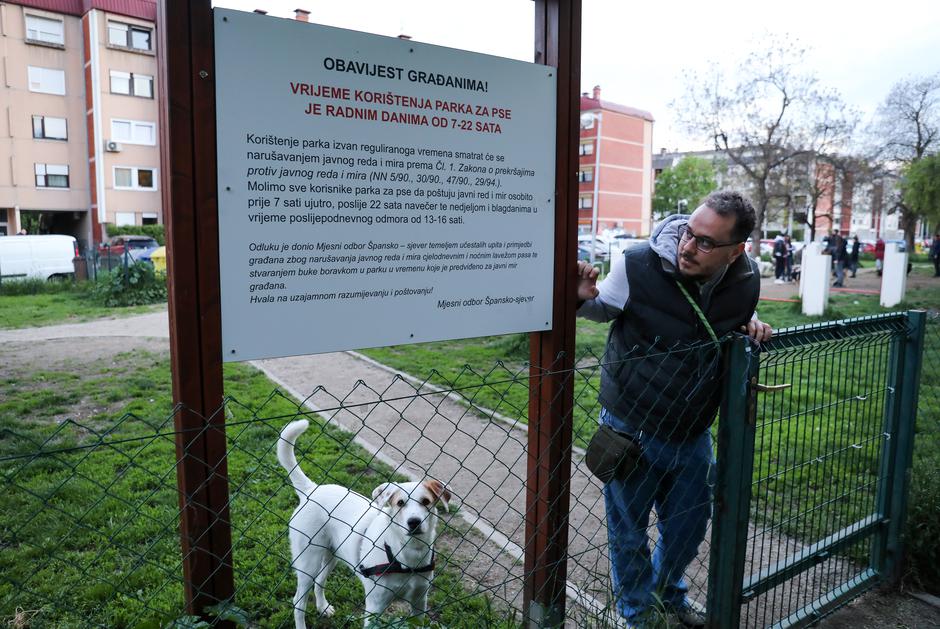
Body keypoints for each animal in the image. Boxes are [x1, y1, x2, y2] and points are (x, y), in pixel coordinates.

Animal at [276, 420, 452, 624]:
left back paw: (323, 607)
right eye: (400, 503)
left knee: (319, 581)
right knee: (298, 602)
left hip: (331, 554)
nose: (414, 522)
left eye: (426, 502)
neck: (407, 553)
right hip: (308, 562)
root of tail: (311, 490)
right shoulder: (375, 607)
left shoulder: (419, 602)